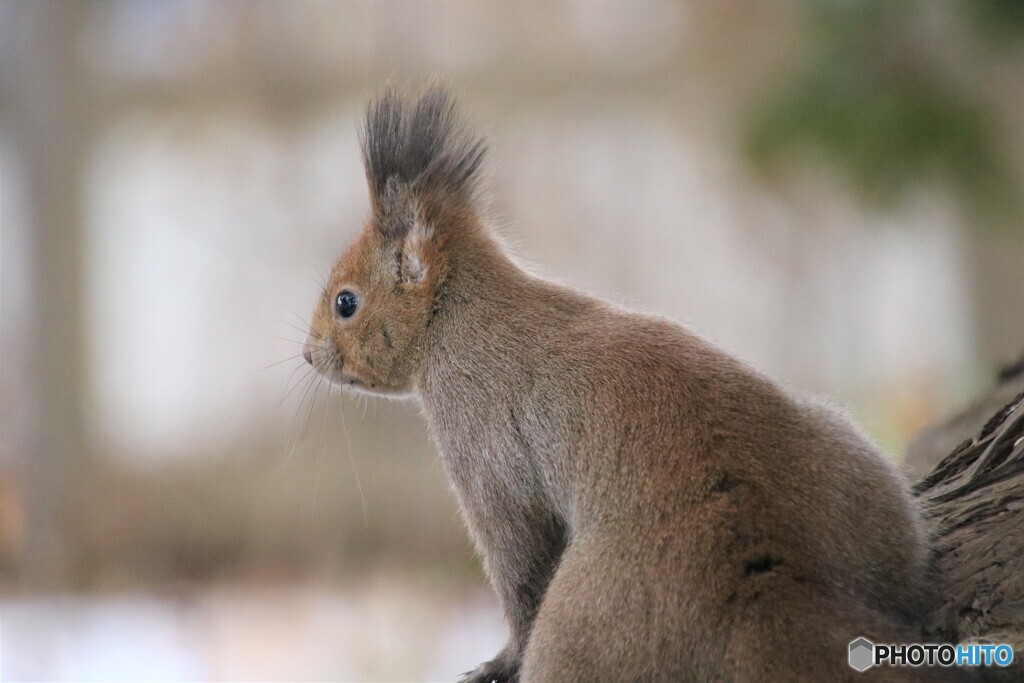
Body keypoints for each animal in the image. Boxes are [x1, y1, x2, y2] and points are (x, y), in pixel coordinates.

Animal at [303, 87, 958, 683]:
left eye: (345, 302)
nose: (309, 357)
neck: (456, 316)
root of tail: (765, 584)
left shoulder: (481, 450)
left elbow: (516, 567)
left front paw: (497, 660)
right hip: (864, 485)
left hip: (578, 633)